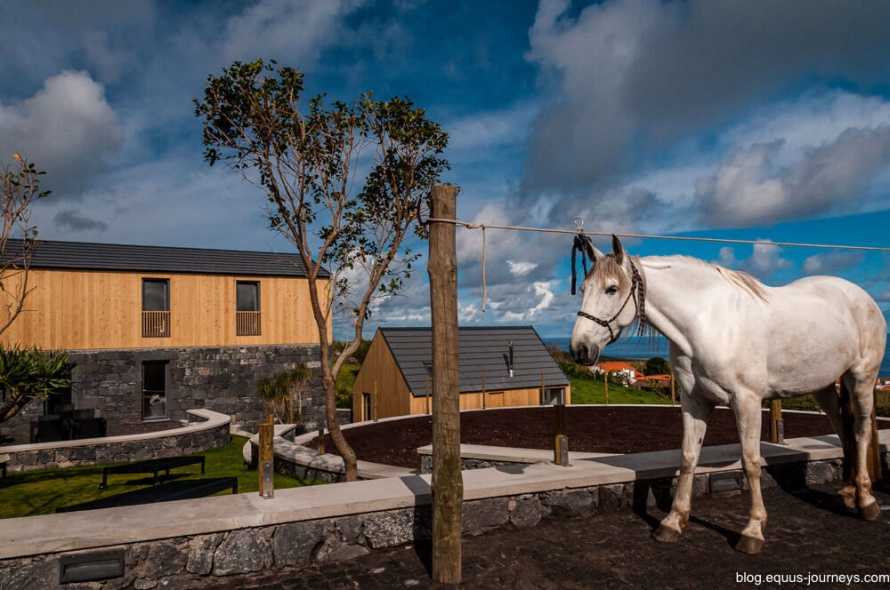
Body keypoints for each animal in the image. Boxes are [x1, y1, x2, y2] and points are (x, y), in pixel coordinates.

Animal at [568, 236, 880, 556]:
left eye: (611, 288)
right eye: (583, 288)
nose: (580, 349)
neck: (707, 323)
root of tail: (861, 297)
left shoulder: (747, 402)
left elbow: (751, 462)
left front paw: (753, 530)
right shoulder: (694, 402)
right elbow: (688, 457)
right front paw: (673, 522)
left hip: (861, 379)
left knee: (860, 432)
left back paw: (867, 501)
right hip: (824, 387)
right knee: (843, 430)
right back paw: (849, 492)